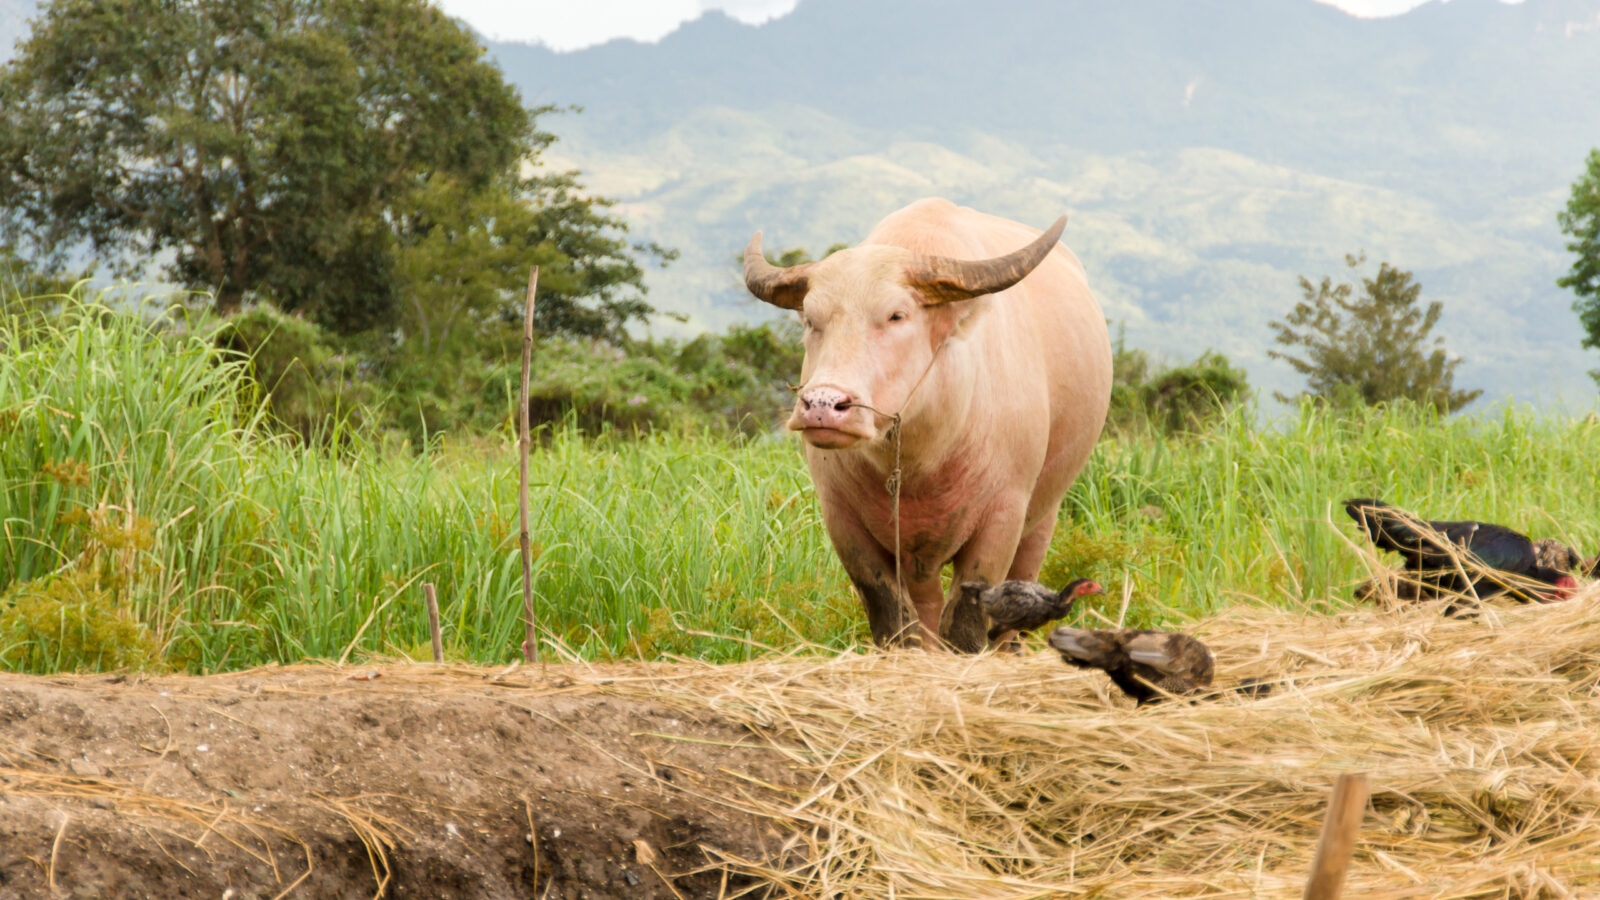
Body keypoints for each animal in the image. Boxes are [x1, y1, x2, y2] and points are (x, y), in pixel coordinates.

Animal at [743, 198, 1112, 651]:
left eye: (896, 315)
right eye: (811, 321)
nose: (823, 406)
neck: (925, 453)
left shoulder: (1002, 519)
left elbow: (968, 622)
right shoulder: (845, 524)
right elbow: (894, 619)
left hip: (1044, 513)